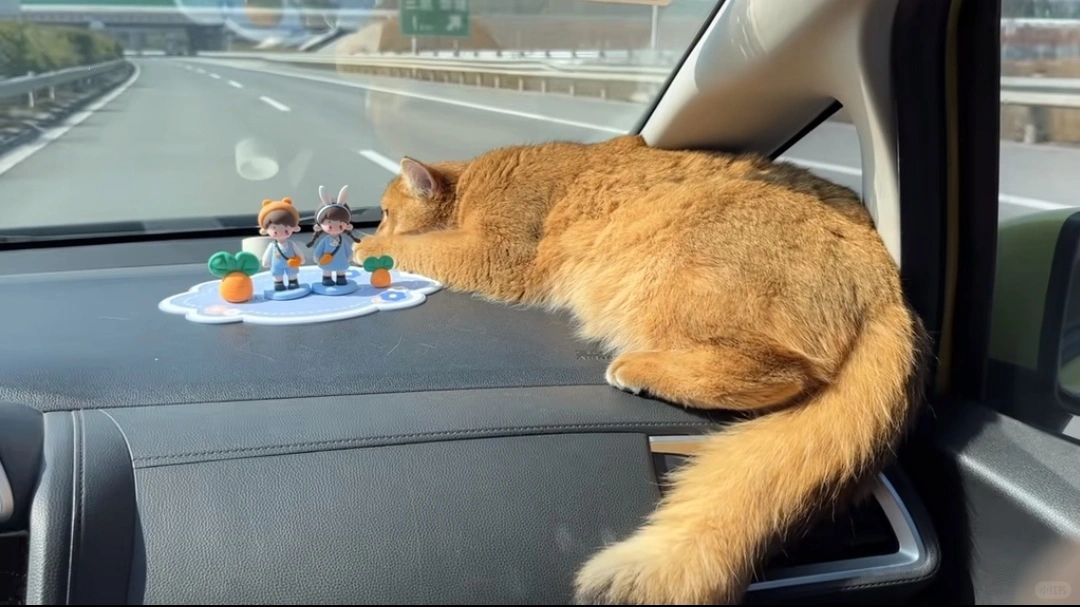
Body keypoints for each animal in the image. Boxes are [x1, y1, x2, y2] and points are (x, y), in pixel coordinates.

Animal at [353, 134, 928, 604]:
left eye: (382, 211)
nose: (365, 226)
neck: (474, 183)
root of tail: (886, 284)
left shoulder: (496, 251)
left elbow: (419, 247)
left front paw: (372, 245)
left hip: (674, 269)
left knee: (785, 373)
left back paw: (639, 368)